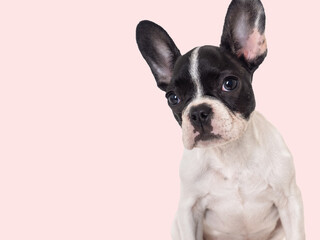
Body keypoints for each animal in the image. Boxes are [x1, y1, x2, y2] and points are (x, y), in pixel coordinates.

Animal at [135, 0, 304, 240]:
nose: (198, 112)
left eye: (229, 84)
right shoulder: (188, 210)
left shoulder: (289, 201)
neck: (230, 155)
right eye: (173, 98)